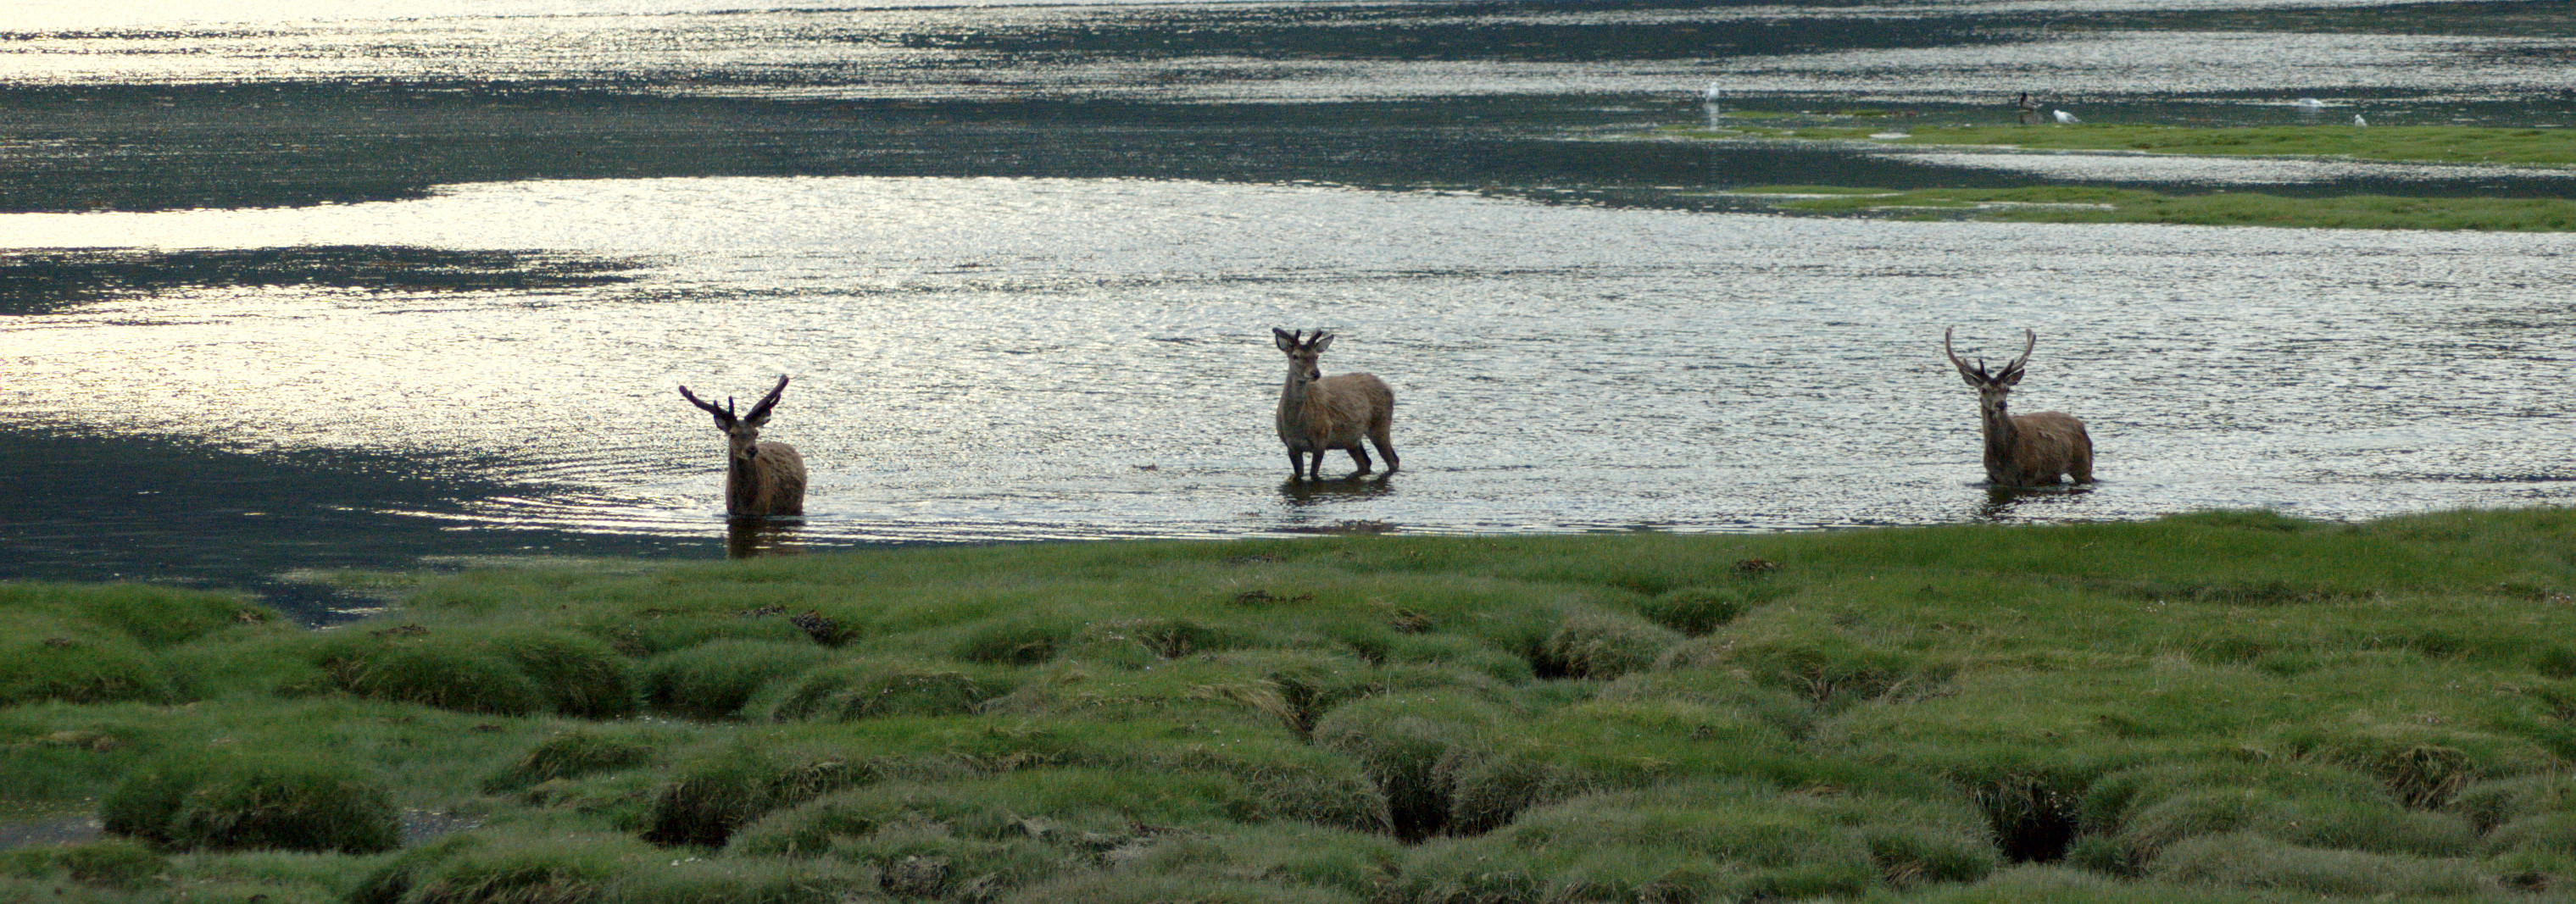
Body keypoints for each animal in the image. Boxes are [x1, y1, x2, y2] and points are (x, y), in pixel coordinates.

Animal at [675, 375, 804, 518]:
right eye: (732, 434)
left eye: (756, 432)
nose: (751, 449)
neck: (746, 504)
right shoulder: (731, 511)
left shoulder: (763, 511)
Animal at [1277, 325, 1401, 481]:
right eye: (1295, 356)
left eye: (1316, 356)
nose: (1315, 373)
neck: (1295, 426)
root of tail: (1389, 388)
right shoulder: (1290, 446)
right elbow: (1298, 475)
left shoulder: (1322, 438)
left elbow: (1313, 474)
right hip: (1351, 439)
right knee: (1366, 462)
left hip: (1381, 424)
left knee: (1393, 460)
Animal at [1937, 330, 2091, 489]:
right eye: (1984, 389)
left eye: (2007, 389)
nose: (2001, 404)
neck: (2004, 458)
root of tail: (2081, 425)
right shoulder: (1993, 477)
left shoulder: (2030, 475)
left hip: (2083, 463)